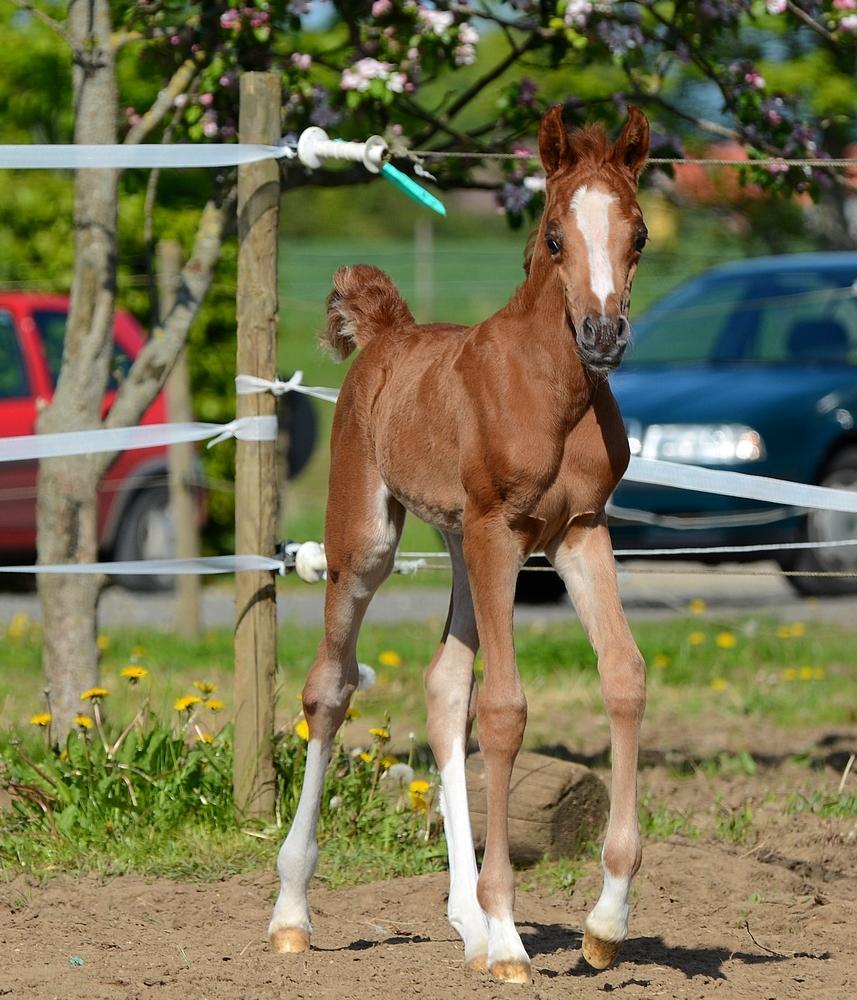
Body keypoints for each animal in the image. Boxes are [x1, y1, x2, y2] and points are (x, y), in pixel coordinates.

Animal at [270, 105, 652, 980]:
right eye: (553, 235)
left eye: (640, 234)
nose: (603, 334)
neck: (551, 389)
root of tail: (389, 330)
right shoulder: (498, 530)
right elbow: (506, 709)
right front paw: (511, 937)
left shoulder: (580, 532)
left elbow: (622, 675)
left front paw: (604, 922)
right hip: (370, 541)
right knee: (329, 687)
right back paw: (292, 913)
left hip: (455, 542)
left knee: (444, 691)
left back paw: (467, 924)